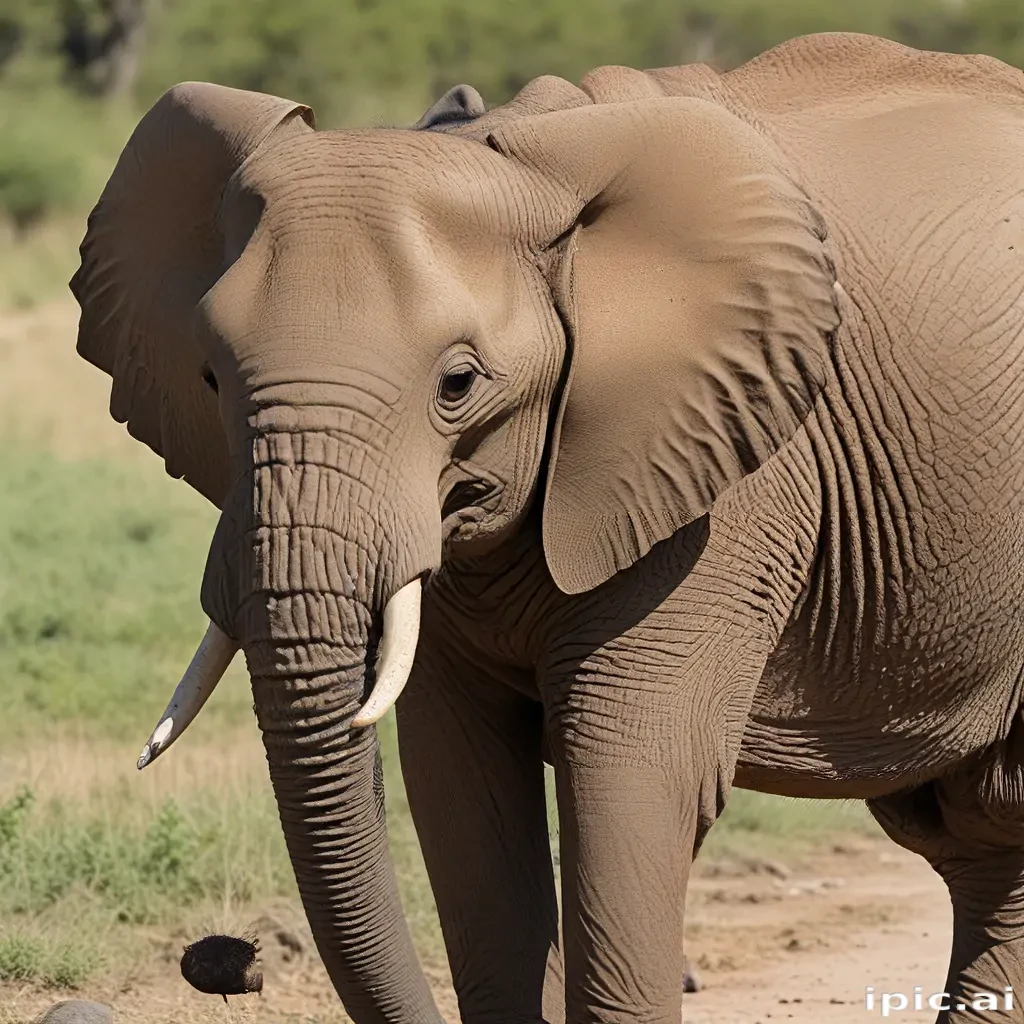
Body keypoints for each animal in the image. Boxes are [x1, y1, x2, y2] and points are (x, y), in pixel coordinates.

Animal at [69, 28, 1024, 1024]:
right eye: (211, 378)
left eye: (458, 384)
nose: (234, 964)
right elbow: (458, 784)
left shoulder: (727, 479)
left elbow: (631, 779)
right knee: (979, 840)